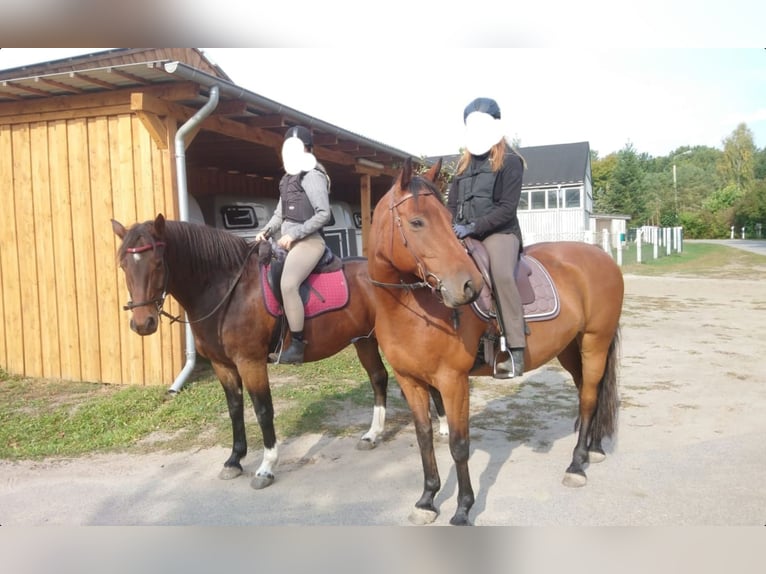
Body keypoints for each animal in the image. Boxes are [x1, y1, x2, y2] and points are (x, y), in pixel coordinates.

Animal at [112, 215, 396, 490]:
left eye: (158, 263)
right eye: (123, 265)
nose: (143, 323)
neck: (228, 290)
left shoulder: (250, 363)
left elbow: (263, 410)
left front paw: (266, 467)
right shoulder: (222, 365)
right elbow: (235, 409)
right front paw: (234, 460)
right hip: (363, 340)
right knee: (378, 377)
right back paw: (372, 435)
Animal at [368, 158, 628, 528]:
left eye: (448, 220)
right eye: (417, 222)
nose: (468, 286)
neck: (412, 310)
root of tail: (602, 257)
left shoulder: (453, 382)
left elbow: (459, 445)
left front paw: (463, 509)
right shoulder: (410, 381)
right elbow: (424, 438)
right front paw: (427, 500)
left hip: (596, 341)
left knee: (590, 397)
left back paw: (577, 465)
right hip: (570, 348)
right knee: (585, 393)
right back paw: (593, 448)